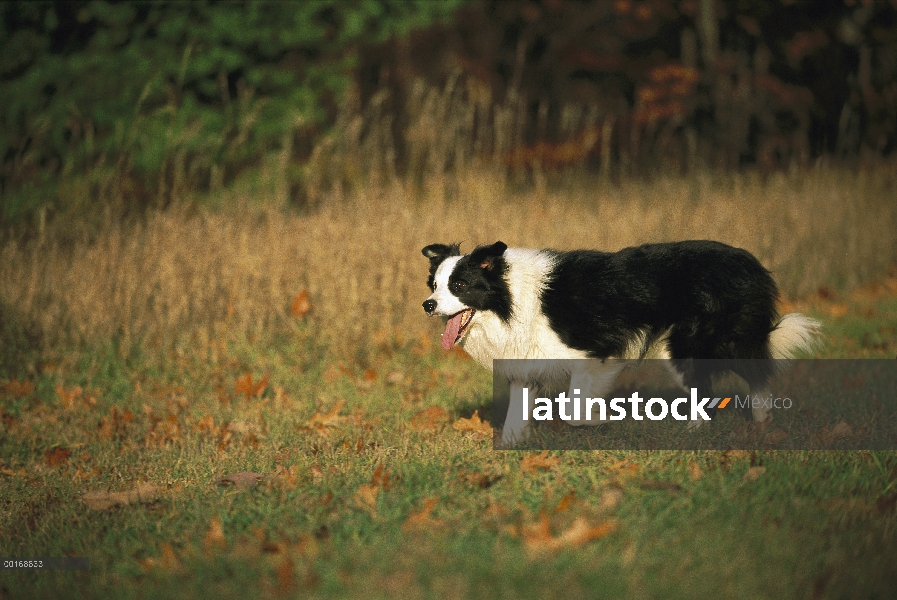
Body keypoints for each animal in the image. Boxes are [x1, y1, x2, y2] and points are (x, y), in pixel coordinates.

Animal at [420, 240, 820, 446]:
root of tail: (750, 262)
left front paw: (603, 420)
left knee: (743, 377)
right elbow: (516, 419)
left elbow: (573, 410)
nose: (427, 305)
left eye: (459, 286)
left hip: (694, 345)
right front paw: (511, 450)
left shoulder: (594, 354)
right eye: (434, 285)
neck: (510, 299)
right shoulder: (527, 362)